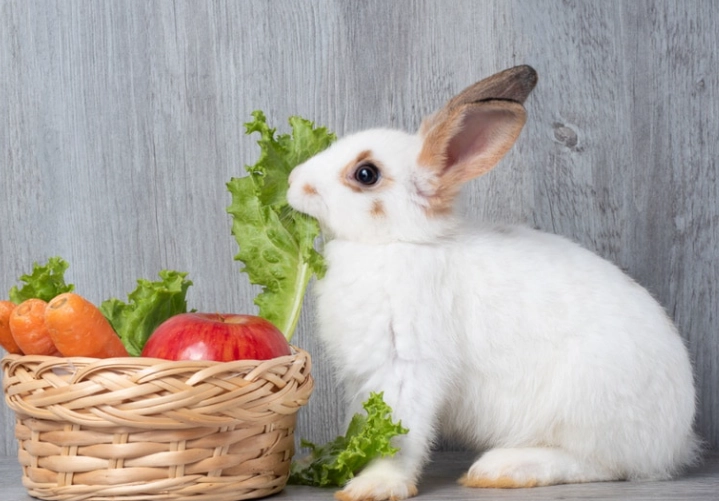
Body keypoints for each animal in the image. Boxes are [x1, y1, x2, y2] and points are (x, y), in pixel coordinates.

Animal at [286, 65, 699, 501]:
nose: (294, 181)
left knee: (600, 464)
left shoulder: (407, 367)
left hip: (587, 410)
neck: (399, 242)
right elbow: (361, 425)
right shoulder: (362, 380)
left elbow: (401, 436)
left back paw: (504, 469)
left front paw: (374, 484)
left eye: (366, 174)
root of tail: (677, 438)